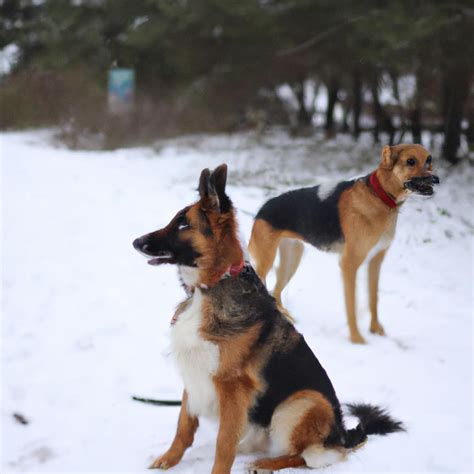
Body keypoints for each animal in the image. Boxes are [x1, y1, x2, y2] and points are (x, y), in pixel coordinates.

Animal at [250, 143, 438, 342]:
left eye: (429, 160)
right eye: (410, 161)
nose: (436, 179)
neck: (379, 196)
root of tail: (262, 210)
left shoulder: (375, 261)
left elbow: (373, 298)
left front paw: (375, 329)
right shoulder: (349, 264)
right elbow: (351, 305)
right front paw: (356, 339)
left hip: (292, 259)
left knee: (275, 291)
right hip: (266, 261)